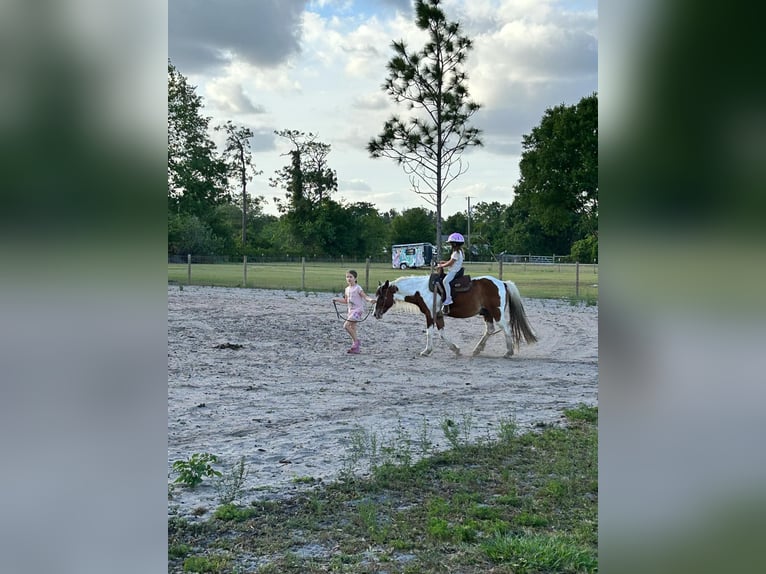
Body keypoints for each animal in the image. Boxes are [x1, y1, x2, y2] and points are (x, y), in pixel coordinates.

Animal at [376, 276, 536, 360]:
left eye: (382, 296)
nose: (375, 314)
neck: (422, 290)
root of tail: (502, 283)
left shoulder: (430, 315)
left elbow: (430, 333)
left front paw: (426, 351)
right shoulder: (438, 316)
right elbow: (442, 334)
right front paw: (456, 349)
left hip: (497, 313)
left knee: (506, 329)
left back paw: (508, 352)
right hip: (487, 314)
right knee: (490, 330)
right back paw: (477, 349)